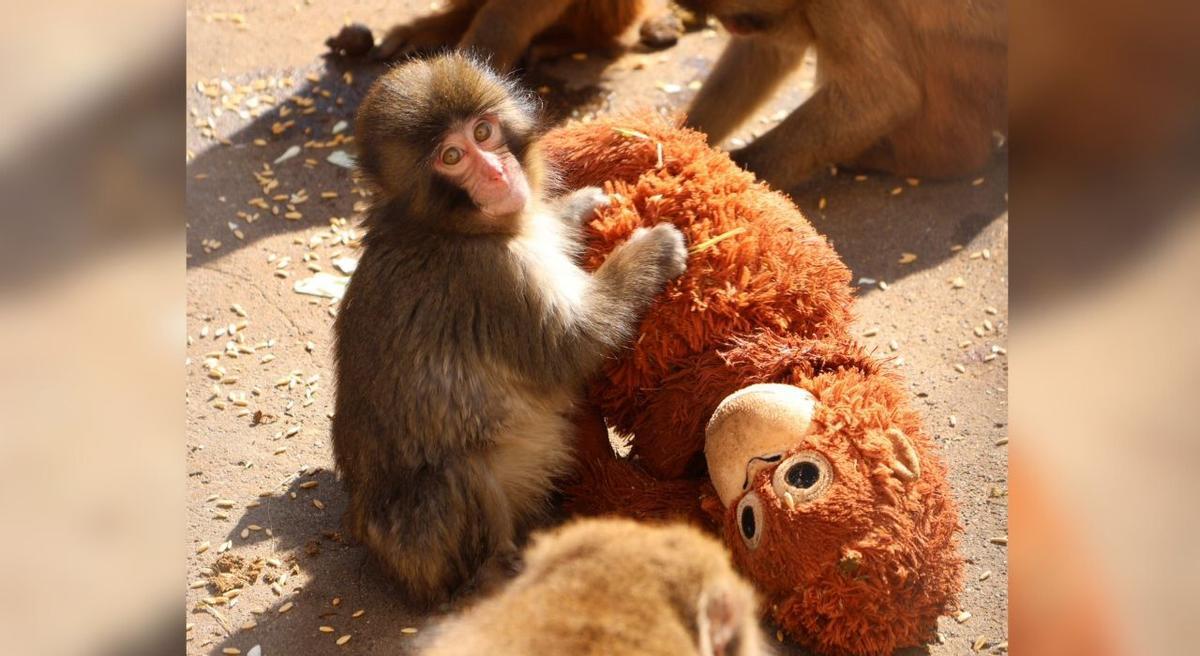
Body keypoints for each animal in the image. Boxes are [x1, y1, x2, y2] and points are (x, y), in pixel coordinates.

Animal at [332, 53, 688, 608]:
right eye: (452, 156)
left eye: (484, 131)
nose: (498, 172)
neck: (448, 227)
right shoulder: (493, 278)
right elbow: (573, 345)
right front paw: (650, 252)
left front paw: (577, 207)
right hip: (423, 545)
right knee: (458, 475)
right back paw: (498, 573)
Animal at [678, 0, 1008, 189]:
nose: (732, 26)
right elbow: (768, 52)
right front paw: (683, 136)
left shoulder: (837, 3)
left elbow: (882, 97)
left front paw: (733, 175)